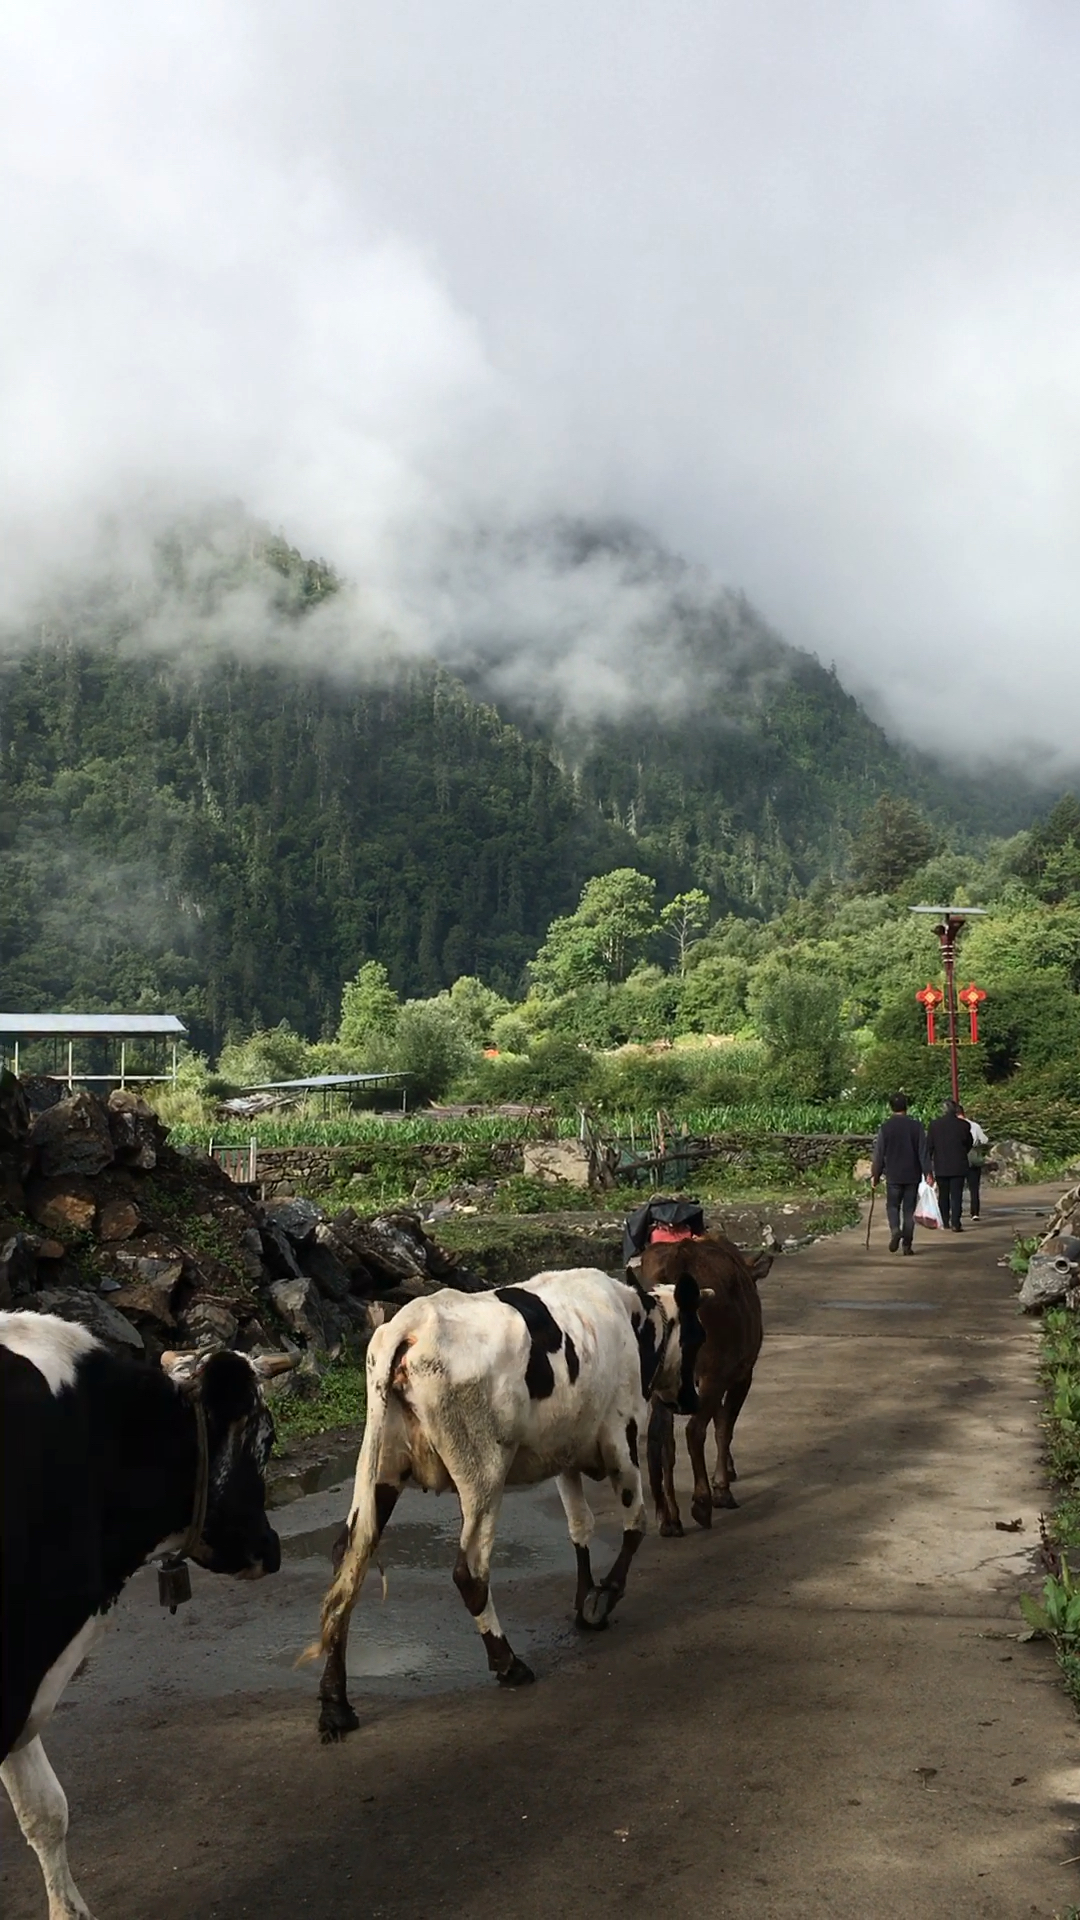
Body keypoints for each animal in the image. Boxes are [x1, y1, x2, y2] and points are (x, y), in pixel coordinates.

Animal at [307, 1259, 703, 1743]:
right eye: (699, 1334)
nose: (691, 1398)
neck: (634, 1320)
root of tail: (409, 1325)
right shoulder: (620, 1439)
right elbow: (635, 1525)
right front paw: (604, 1598)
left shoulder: (564, 1453)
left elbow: (580, 1528)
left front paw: (584, 1599)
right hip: (483, 1474)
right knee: (469, 1571)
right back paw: (508, 1663)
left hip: (381, 1466)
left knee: (349, 1560)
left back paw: (335, 1704)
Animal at [638, 1236, 764, 1536]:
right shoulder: (742, 1373)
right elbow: (724, 1427)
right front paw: (722, 1486)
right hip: (712, 1371)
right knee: (694, 1430)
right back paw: (703, 1502)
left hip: (660, 1378)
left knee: (660, 1439)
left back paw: (669, 1517)